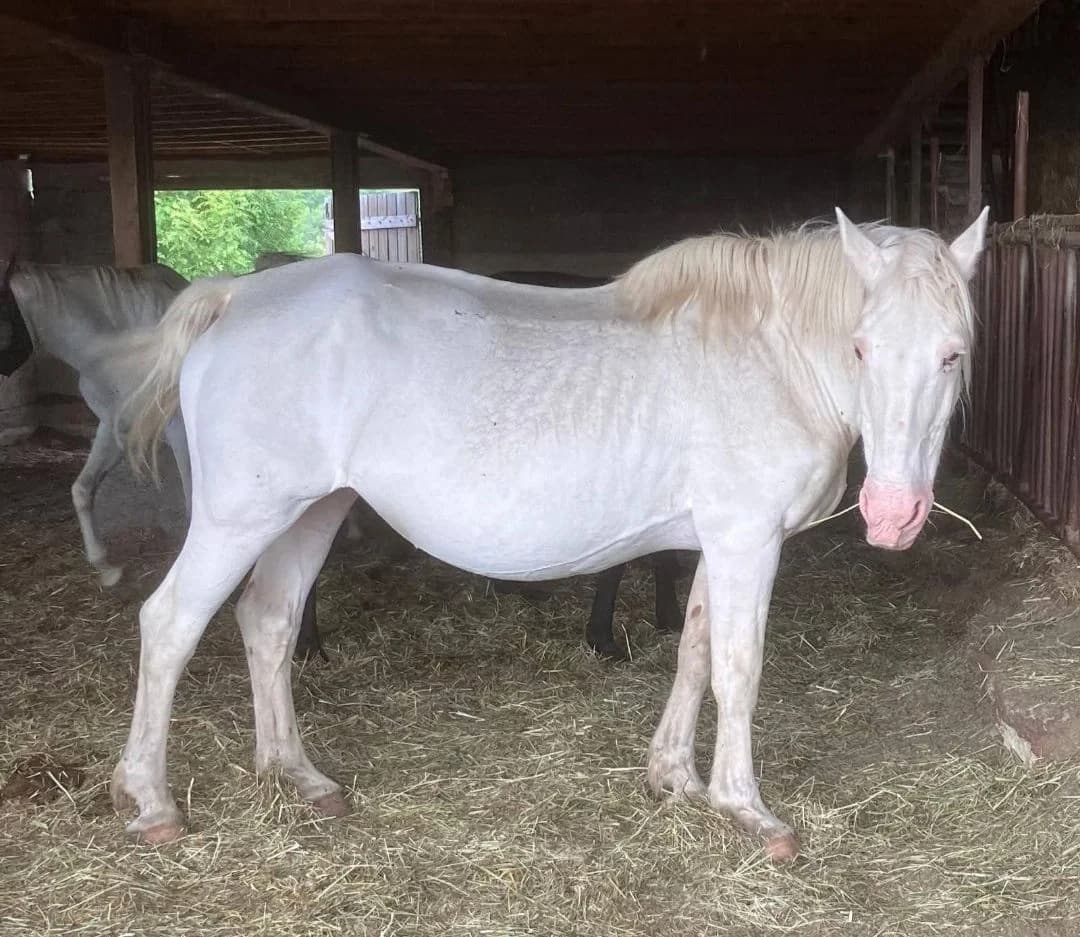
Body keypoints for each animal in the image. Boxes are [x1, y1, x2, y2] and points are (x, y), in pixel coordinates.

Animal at [109, 207, 988, 860]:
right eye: (862, 347)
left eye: (954, 354)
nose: (894, 514)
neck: (770, 356)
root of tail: (235, 298)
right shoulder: (748, 538)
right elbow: (738, 668)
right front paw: (748, 809)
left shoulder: (718, 538)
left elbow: (694, 649)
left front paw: (676, 778)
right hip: (240, 517)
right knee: (170, 624)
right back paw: (151, 799)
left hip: (311, 511)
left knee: (270, 622)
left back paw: (299, 775)